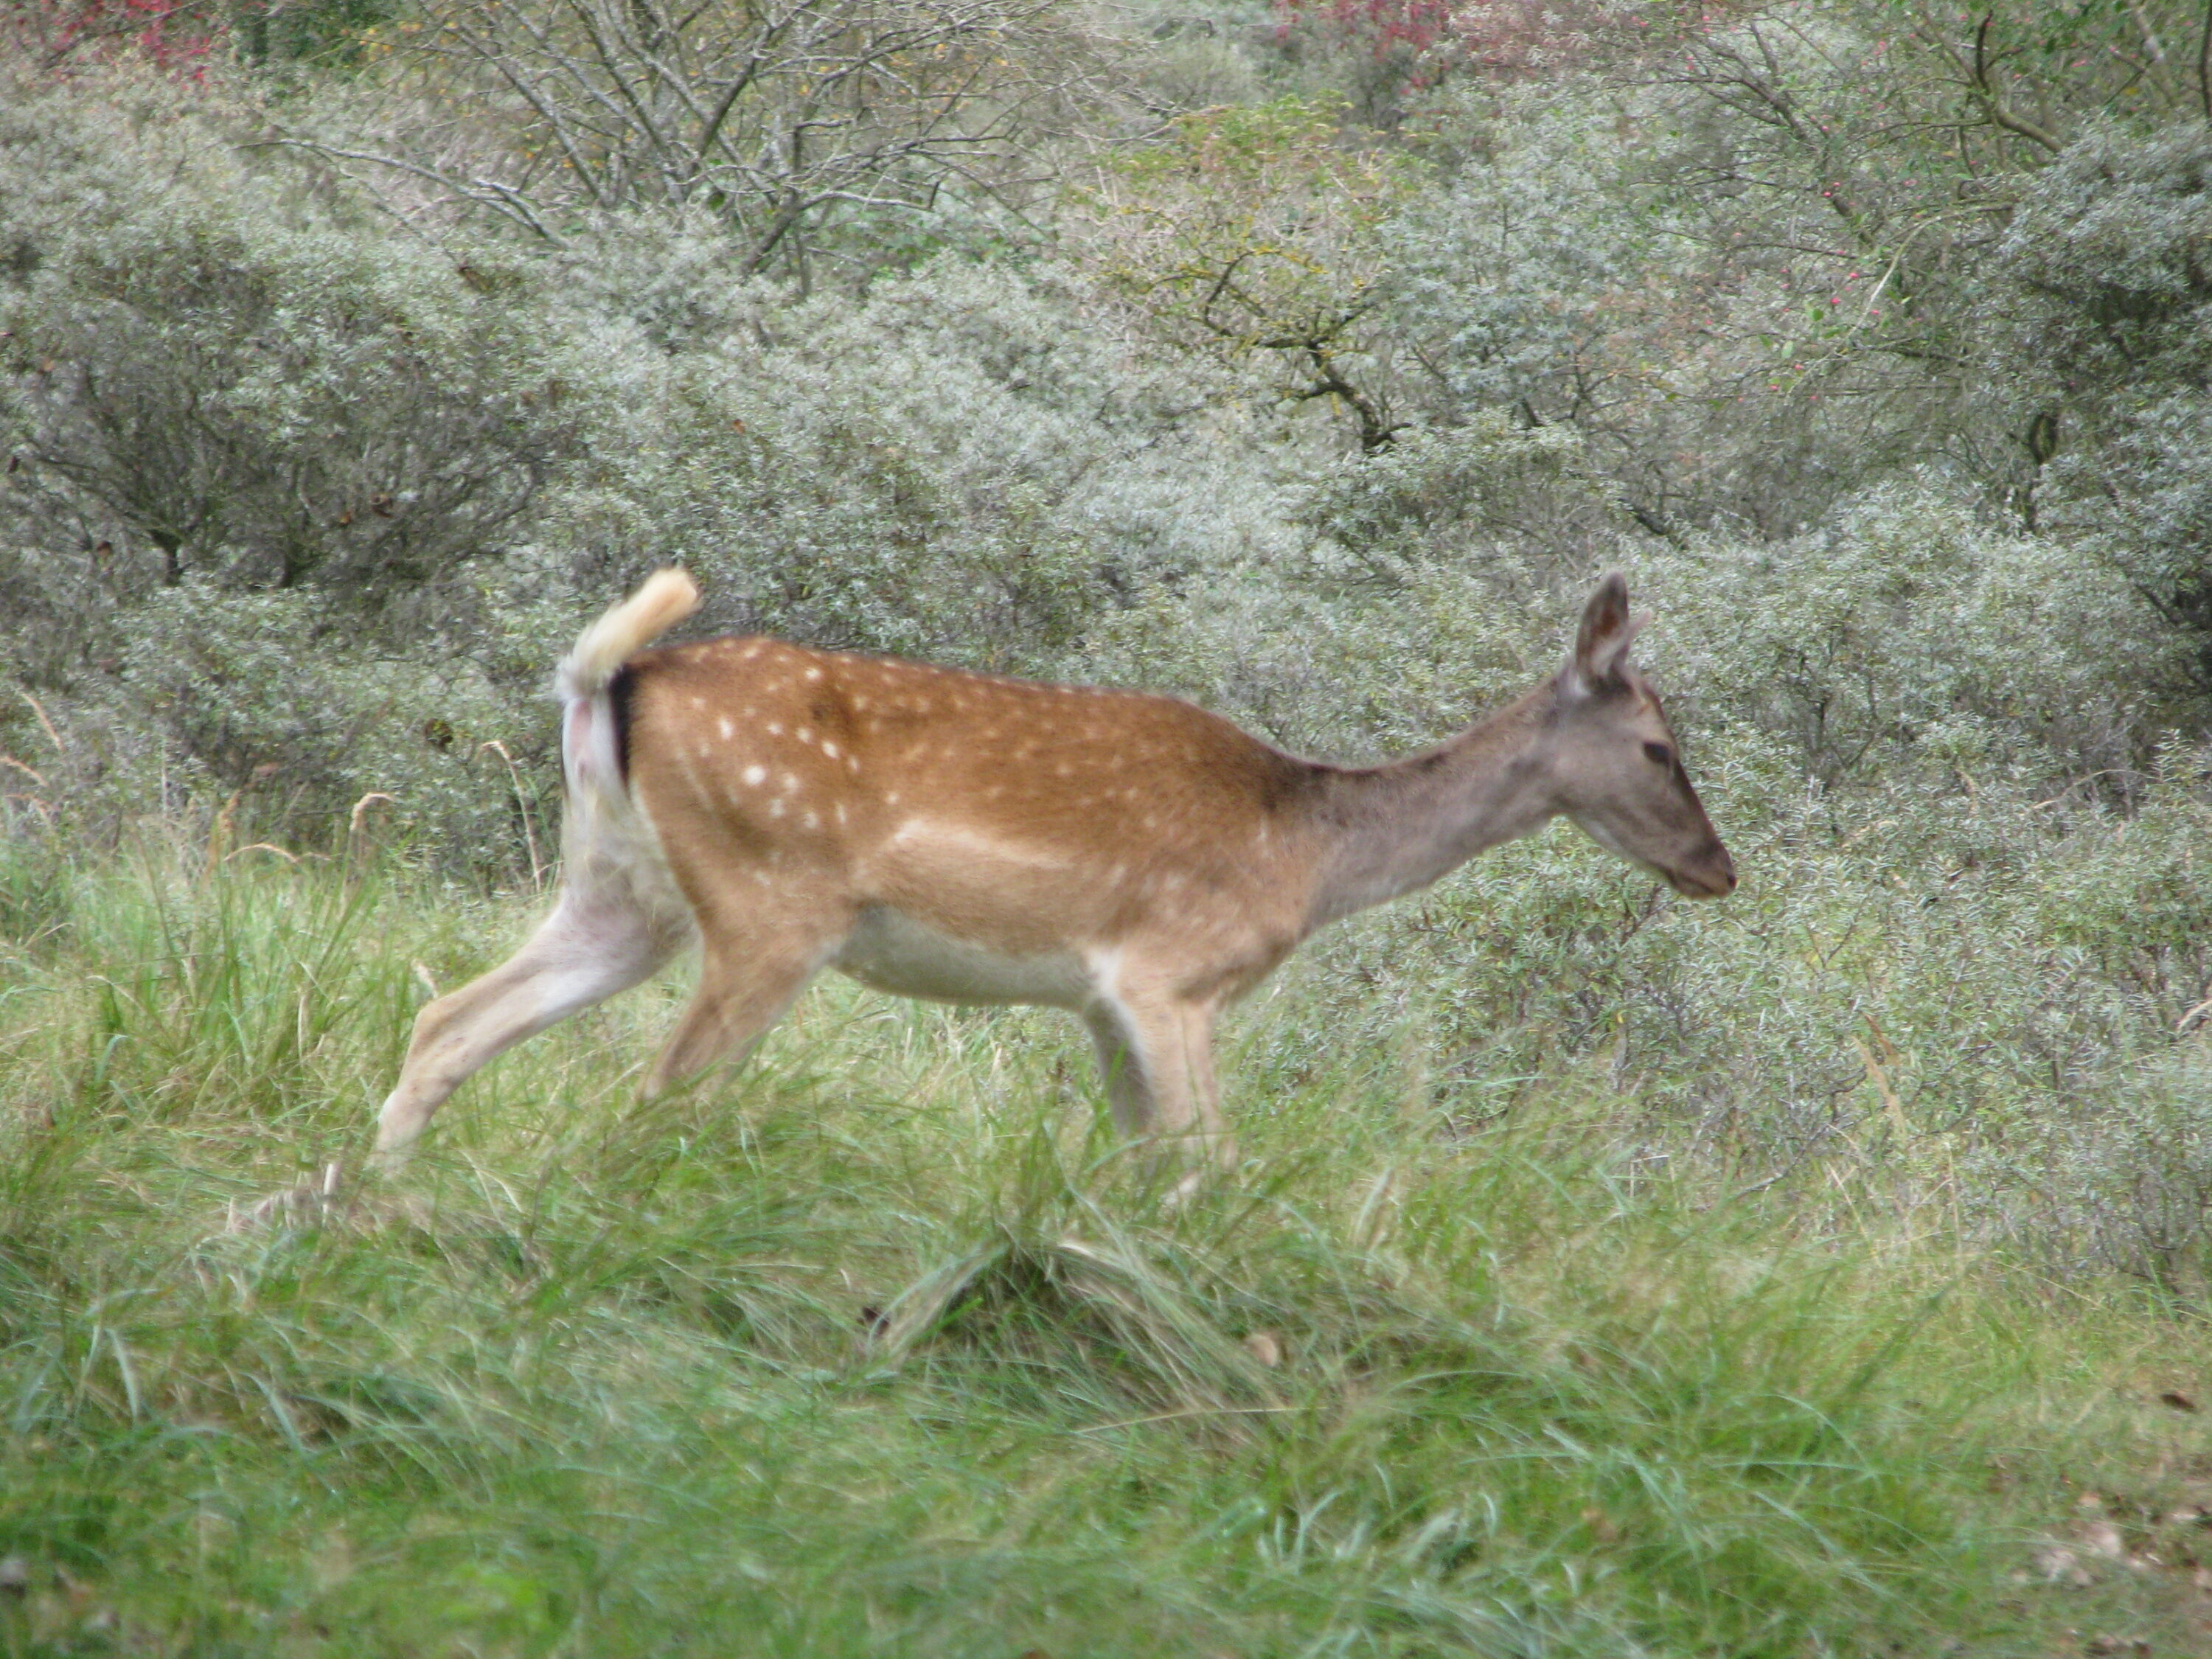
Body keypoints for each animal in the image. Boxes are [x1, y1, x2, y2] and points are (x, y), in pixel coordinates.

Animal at [370, 569, 1734, 1178]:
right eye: (1661, 746)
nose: (1718, 866)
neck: (1306, 848)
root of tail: (611, 678)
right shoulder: (1169, 974)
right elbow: (1206, 1160)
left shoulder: (1101, 1005)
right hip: (770, 901)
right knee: (657, 1092)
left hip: (622, 888)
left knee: (449, 1020)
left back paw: (374, 1198)